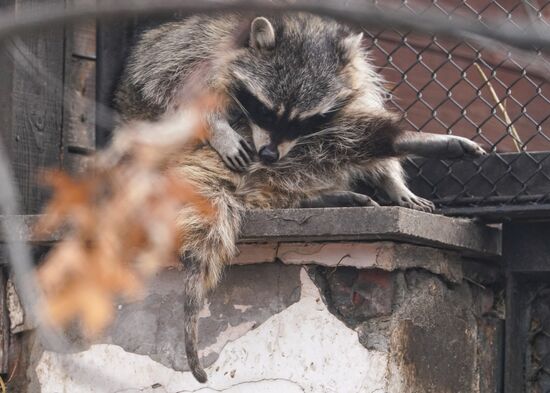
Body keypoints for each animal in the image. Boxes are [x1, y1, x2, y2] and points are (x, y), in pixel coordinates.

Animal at [117, 13, 488, 382]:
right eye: (265, 110)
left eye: (304, 120)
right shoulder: (194, 45)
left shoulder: (353, 81)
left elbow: (358, 106)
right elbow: (162, 80)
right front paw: (218, 128)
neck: (300, 28)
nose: (268, 154)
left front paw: (393, 182)